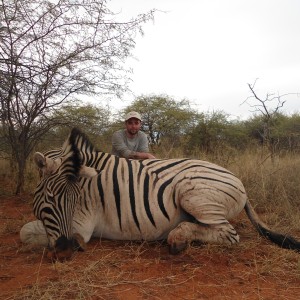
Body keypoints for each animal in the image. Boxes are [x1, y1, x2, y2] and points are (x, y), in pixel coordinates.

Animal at [20, 127, 300, 260]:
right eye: (50, 198)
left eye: (74, 200)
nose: (65, 251)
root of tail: (238, 181)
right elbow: (28, 231)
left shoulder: (82, 224)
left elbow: (27, 232)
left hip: (190, 190)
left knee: (229, 234)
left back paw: (178, 238)